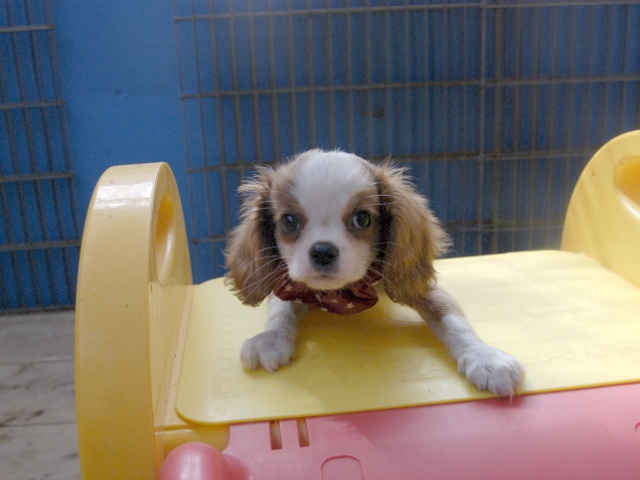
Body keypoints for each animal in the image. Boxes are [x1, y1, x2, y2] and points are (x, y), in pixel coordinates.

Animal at [224, 149, 524, 397]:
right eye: (288, 221)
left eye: (362, 219)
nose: (322, 251)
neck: (342, 294)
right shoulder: (289, 282)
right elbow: (282, 309)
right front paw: (270, 339)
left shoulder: (414, 284)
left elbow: (453, 319)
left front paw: (485, 358)